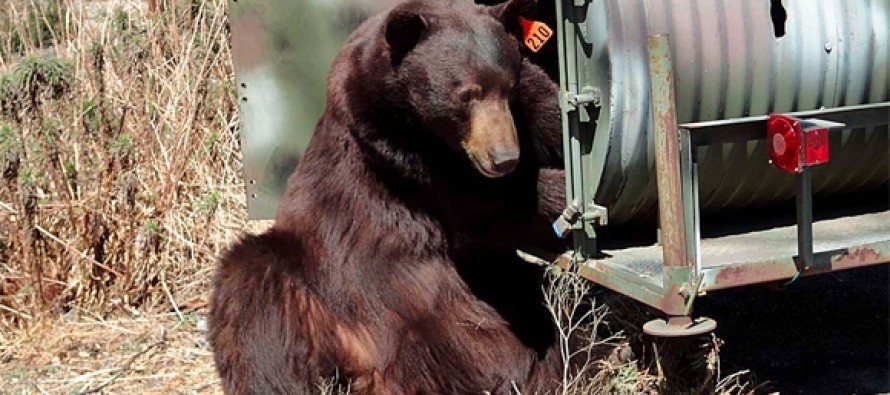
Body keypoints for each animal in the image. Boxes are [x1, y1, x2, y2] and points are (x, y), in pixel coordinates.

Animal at [208, 1, 568, 394]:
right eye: (466, 94)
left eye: (508, 89)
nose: (504, 158)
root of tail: (370, 371)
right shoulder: (400, 162)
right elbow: (484, 205)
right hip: (308, 279)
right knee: (250, 289)